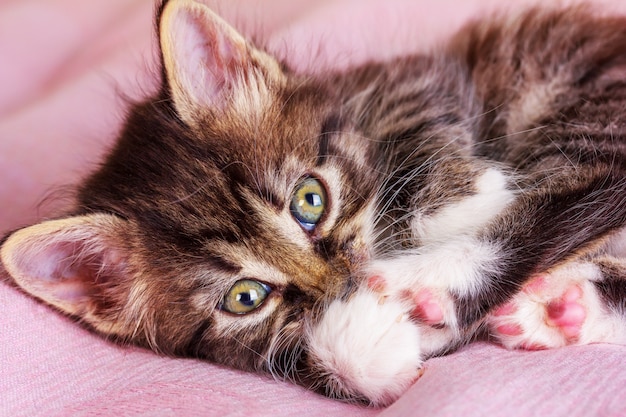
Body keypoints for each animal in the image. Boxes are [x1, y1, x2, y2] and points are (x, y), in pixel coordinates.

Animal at [1, 0, 624, 406]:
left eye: (310, 200)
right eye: (245, 297)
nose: (343, 279)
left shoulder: (416, 75)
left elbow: (423, 122)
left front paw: (464, 203)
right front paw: (366, 346)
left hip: (586, 100)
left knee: (584, 185)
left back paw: (429, 280)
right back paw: (560, 311)